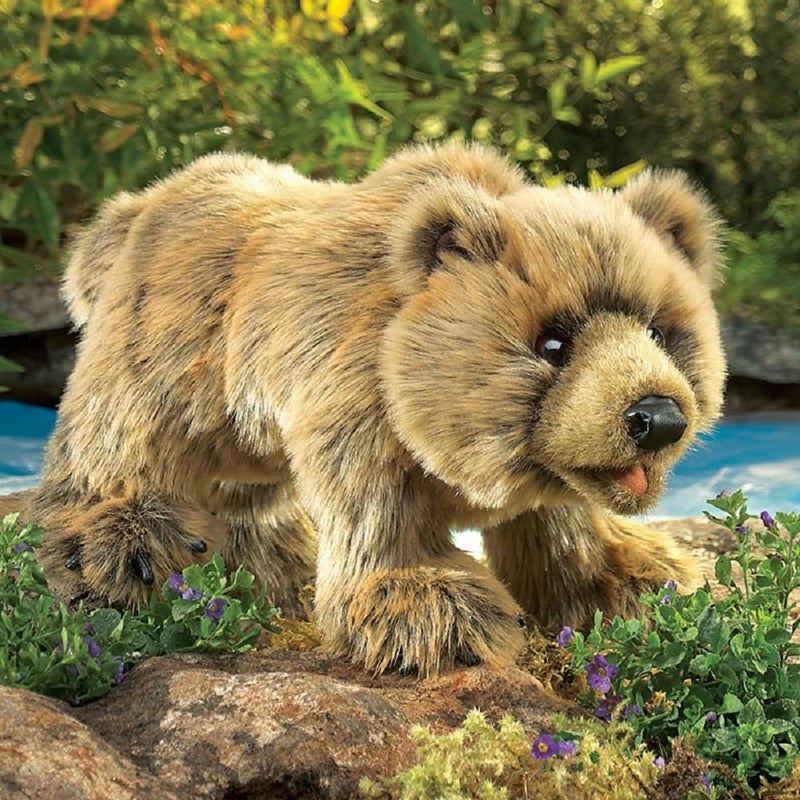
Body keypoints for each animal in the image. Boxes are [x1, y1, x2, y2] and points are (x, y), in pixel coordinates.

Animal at [31, 143, 726, 676]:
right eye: (552, 341)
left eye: (660, 330)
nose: (657, 418)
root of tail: (132, 208)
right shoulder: (355, 398)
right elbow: (378, 514)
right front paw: (438, 611)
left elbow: (561, 528)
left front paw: (644, 577)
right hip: (172, 341)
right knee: (120, 436)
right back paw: (123, 549)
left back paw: (280, 573)